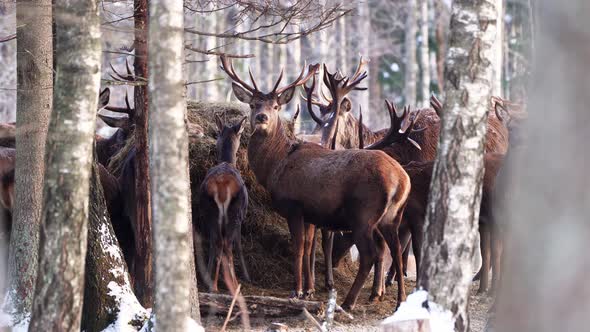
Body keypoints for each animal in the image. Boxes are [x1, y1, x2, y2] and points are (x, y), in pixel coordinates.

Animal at [200, 115, 251, 294]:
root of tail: (221, 187)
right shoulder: (242, 216)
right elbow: (239, 244)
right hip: (234, 212)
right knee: (226, 244)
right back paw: (233, 285)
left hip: (209, 210)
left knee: (216, 242)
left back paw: (213, 285)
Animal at [222, 55, 412, 310]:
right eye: (253, 104)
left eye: (275, 106)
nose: (262, 118)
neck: (276, 166)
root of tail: (401, 180)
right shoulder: (310, 213)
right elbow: (308, 246)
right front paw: (308, 289)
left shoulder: (294, 206)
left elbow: (299, 247)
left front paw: (297, 290)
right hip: (391, 216)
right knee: (396, 251)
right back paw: (400, 300)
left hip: (363, 213)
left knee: (370, 254)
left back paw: (348, 302)